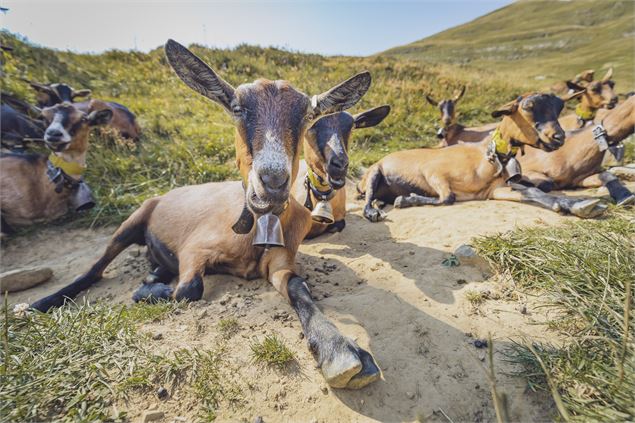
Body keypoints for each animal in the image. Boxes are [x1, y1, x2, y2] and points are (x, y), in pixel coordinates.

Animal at [31, 39, 382, 390]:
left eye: (308, 116)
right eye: (237, 107)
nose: (271, 183)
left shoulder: (279, 261)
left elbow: (297, 285)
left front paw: (338, 349)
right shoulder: (194, 249)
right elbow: (189, 289)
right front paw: (152, 292)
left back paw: (152, 276)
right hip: (132, 221)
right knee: (95, 269)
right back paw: (41, 303)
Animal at [358, 92, 608, 222]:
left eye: (558, 107)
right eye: (528, 106)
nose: (558, 137)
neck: (485, 158)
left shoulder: (494, 190)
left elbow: (533, 191)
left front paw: (578, 204)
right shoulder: (433, 172)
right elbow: (447, 198)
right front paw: (406, 199)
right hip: (375, 172)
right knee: (368, 194)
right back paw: (373, 210)